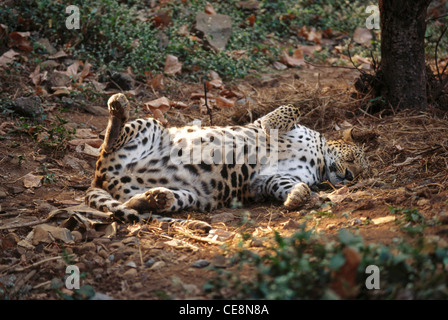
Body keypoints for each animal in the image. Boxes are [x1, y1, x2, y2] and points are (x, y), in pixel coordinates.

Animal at [86, 94, 370, 231]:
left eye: (361, 174)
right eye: (354, 158)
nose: (350, 176)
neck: (319, 160)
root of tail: (100, 178)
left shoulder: (262, 181)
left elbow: (283, 183)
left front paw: (297, 196)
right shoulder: (265, 123)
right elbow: (288, 110)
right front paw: (272, 124)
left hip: (189, 195)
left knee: (132, 204)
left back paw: (154, 198)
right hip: (151, 125)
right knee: (110, 139)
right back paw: (119, 107)